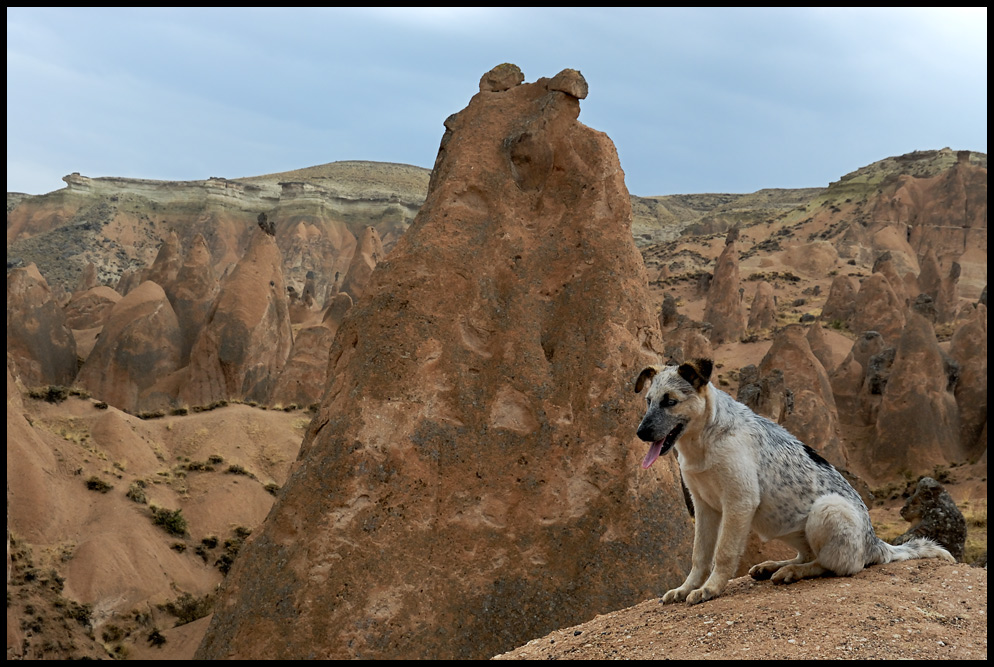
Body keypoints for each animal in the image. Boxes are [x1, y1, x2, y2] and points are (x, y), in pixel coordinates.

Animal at [636, 360, 952, 604]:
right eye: (648, 401)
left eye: (670, 401)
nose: (640, 433)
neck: (704, 440)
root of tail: (875, 544)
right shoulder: (704, 506)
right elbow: (699, 555)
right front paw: (686, 588)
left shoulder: (739, 503)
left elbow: (723, 554)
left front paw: (711, 589)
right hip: (782, 523)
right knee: (807, 554)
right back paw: (774, 566)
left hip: (827, 509)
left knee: (836, 565)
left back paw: (792, 572)